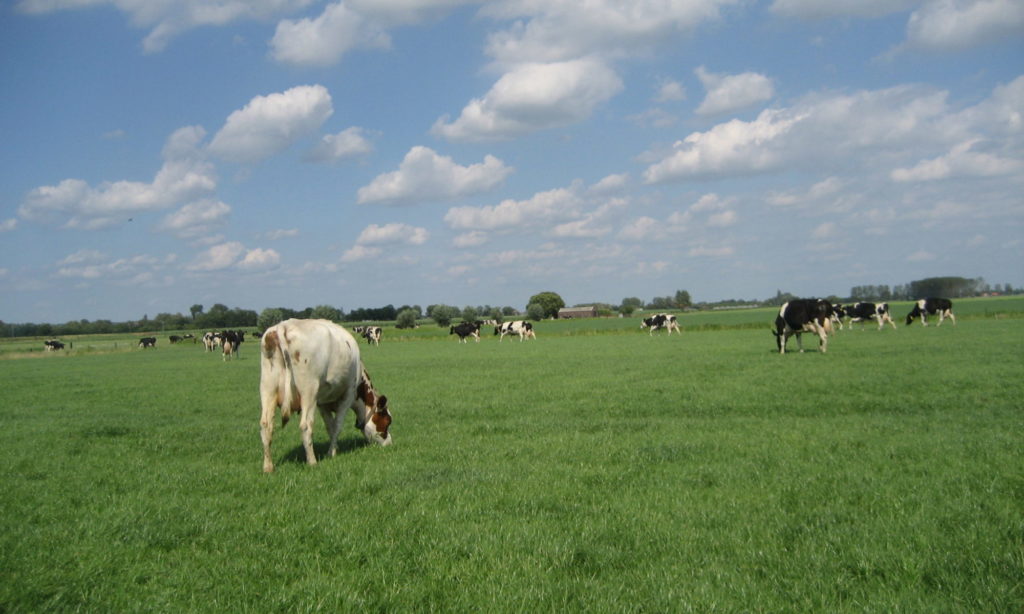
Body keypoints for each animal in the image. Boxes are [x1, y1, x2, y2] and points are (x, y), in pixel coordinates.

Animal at [258, 319, 392, 473]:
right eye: (387, 422)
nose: (389, 443)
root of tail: (283, 326)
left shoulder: (322, 403)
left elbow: (330, 426)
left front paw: (335, 448)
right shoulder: (348, 396)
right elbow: (337, 425)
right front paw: (331, 453)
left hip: (267, 389)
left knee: (266, 425)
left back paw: (268, 467)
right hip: (309, 391)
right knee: (305, 426)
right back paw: (312, 462)